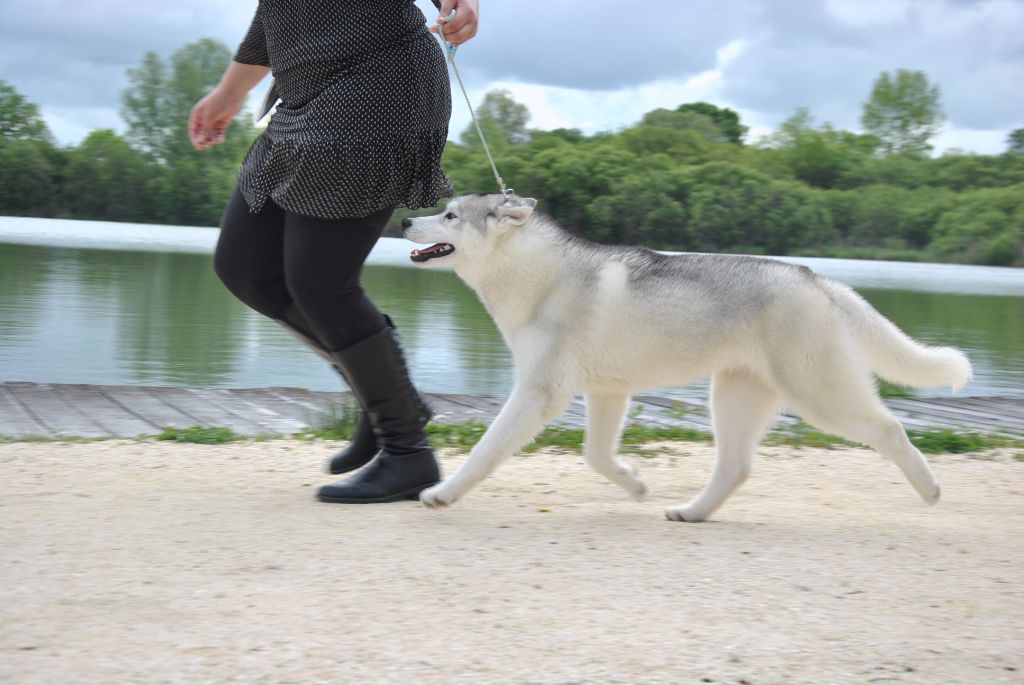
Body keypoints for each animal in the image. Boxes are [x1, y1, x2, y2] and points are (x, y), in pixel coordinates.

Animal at [395, 194, 970, 520]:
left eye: (449, 214)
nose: (403, 222)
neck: (534, 274)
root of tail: (816, 278)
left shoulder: (540, 392)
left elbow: (486, 451)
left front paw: (444, 493)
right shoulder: (607, 392)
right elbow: (596, 455)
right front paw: (635, 485)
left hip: (820, 394)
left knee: (890, 429)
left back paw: (931, 490)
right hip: (735, 396)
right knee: (735, 467)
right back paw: (693, 512)